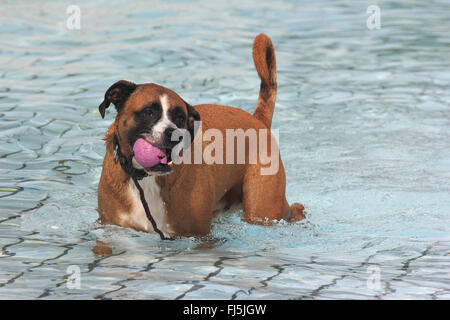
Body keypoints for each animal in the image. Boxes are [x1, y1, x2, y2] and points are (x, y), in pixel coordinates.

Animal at [96, 34, 304, 238]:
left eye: (180, 117)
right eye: (149, 112)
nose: (174, 134)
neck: (145, 178)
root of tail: (258, 120)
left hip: (263, 208)